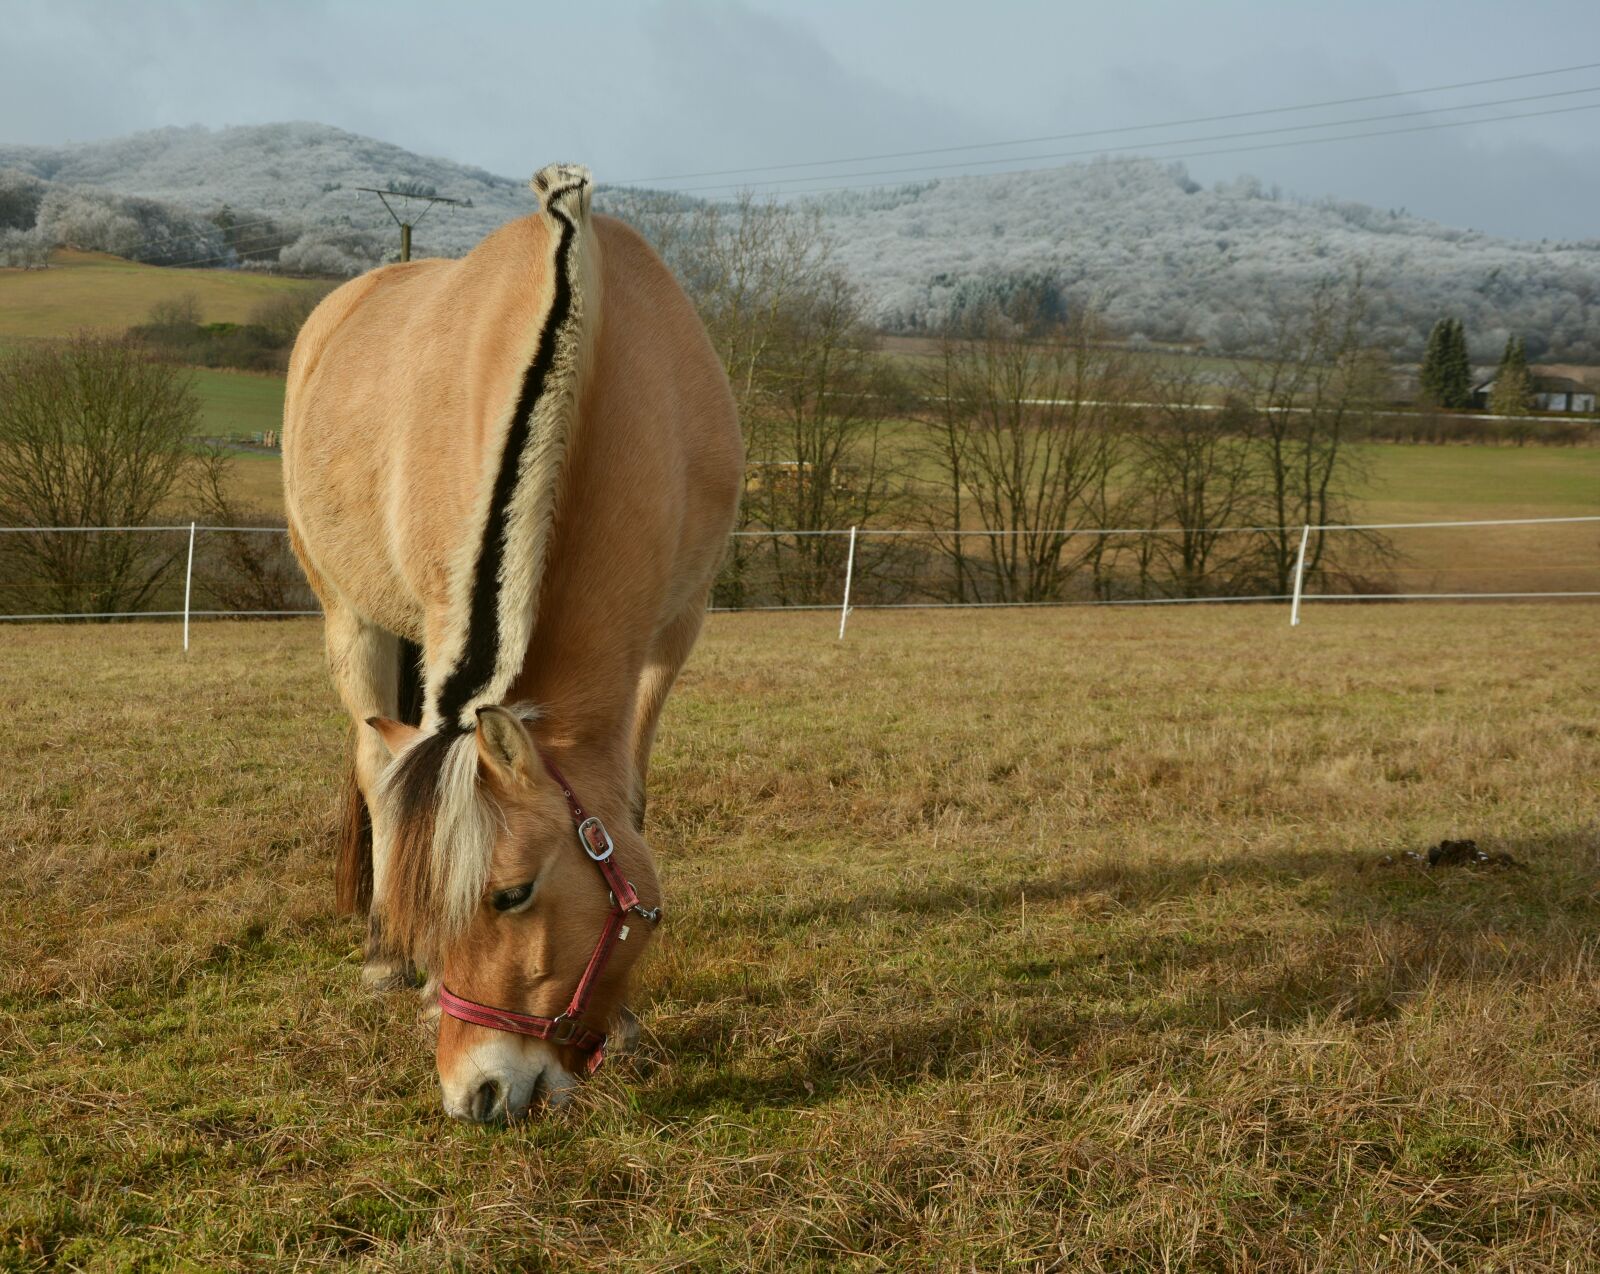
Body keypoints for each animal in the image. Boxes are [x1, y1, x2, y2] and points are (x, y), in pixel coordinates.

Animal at [282, 165, 742, 1122]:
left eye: (513, 895)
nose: (477, 1092)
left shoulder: (672, 633)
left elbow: (629, 799)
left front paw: (629, 1018)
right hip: (350, 614)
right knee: (375, 762)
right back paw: (385, 957)